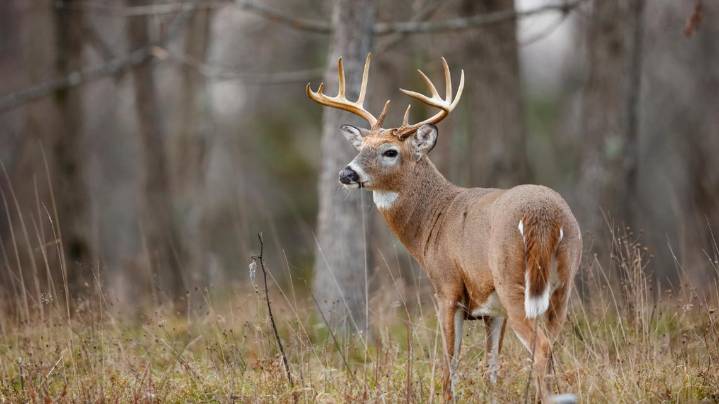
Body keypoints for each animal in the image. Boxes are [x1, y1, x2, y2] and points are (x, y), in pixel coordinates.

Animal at [307, 54, 582, 403]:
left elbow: (450, 360)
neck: (432, 222)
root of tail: (543, 217)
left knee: (542, 347)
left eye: (390, 151)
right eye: (361, 147)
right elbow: (491, 366)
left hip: (513, 280)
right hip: (563, 283)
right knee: (553, 343)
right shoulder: (491, 309)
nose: (346, 173)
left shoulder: (446, 286)